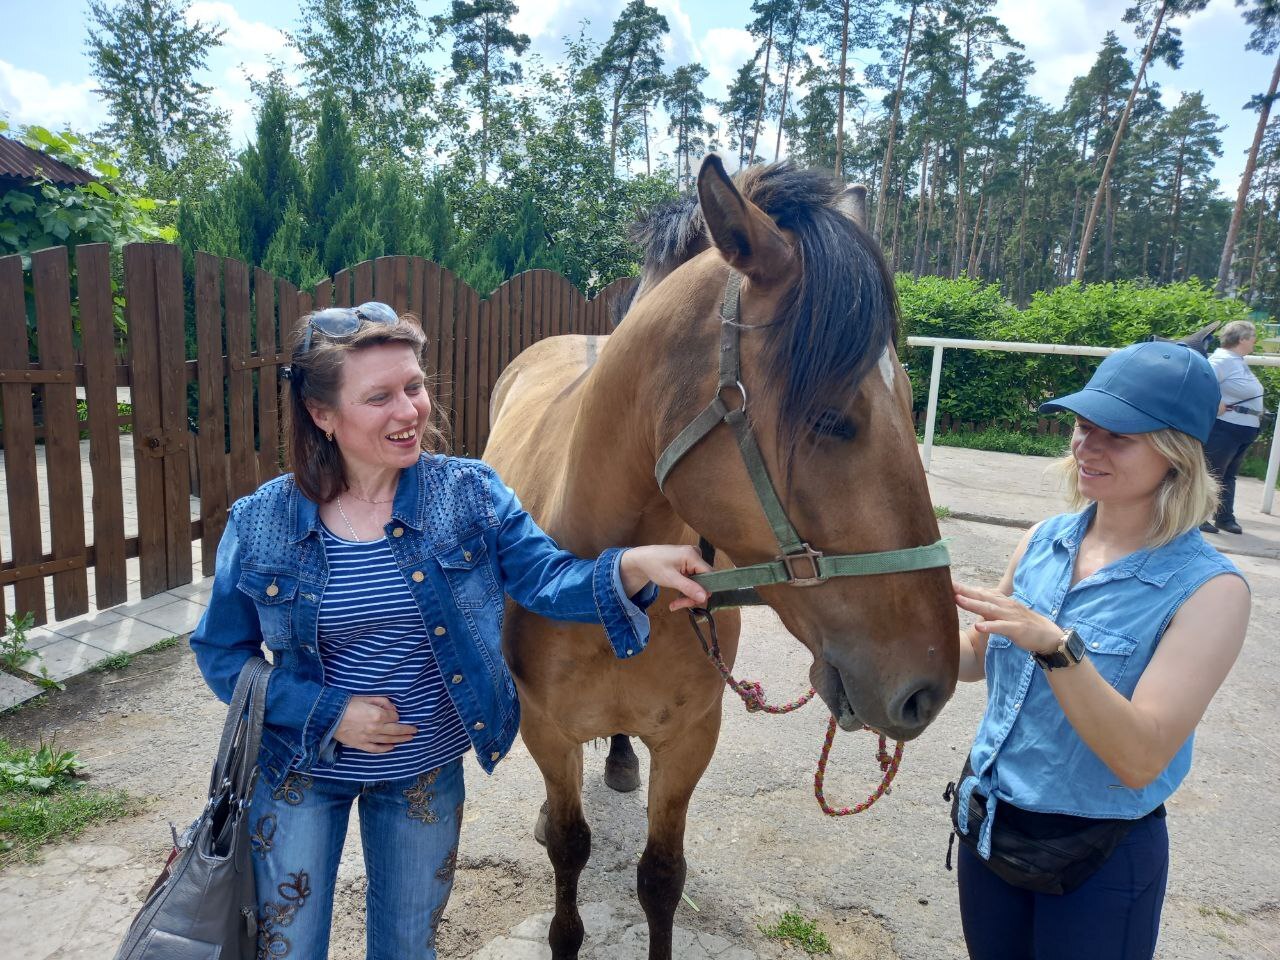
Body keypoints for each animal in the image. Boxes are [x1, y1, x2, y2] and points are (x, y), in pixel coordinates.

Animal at [483, 160, 957, 960]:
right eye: (832, 419)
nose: (928, 689)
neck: (603, 576)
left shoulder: (691, 737)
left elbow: (661, 876)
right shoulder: (544, 729)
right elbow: (571, 850)